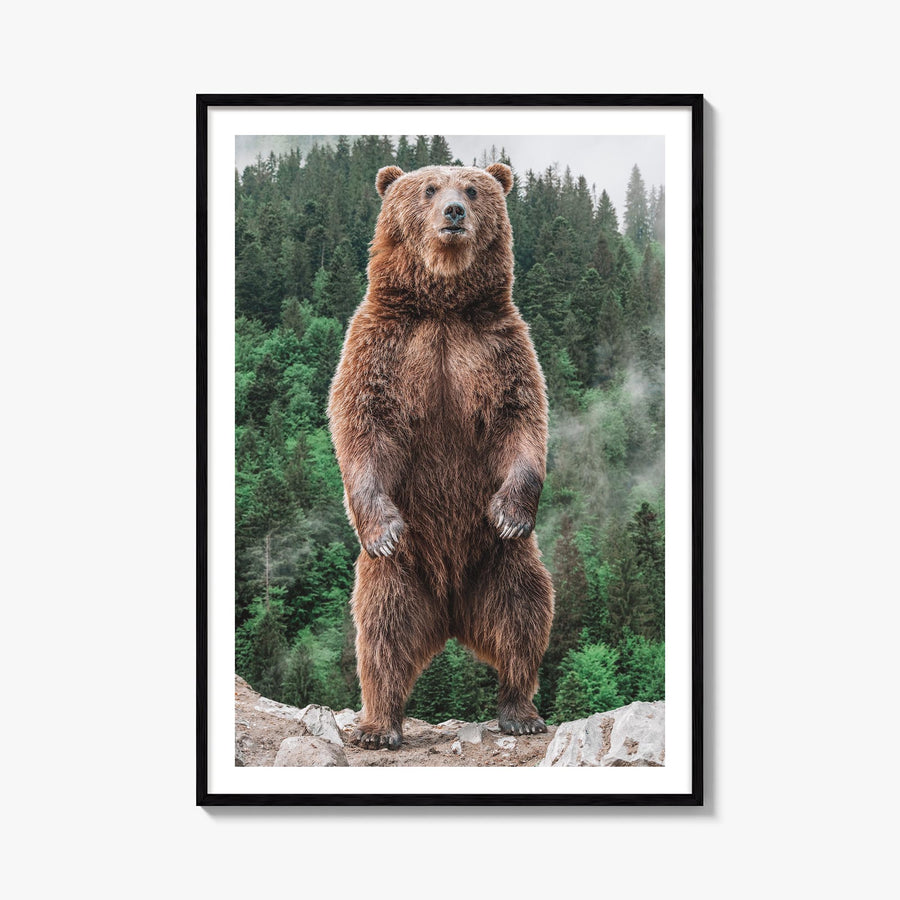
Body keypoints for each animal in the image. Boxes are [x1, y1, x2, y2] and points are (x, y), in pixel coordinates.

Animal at [327, 162, 554, 749]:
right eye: (429, 188)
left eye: (472, 189)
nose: (453, 211)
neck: (443, 306)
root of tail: (450, 612)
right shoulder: (384, 345)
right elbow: (362, 422)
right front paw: (382, 527)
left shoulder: (498, 346)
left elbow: (522, 420)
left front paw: (511, 512)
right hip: (402, 573)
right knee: (381, 632)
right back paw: (378, 725)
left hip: (499, 562)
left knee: (524, 613)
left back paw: (520, 711)